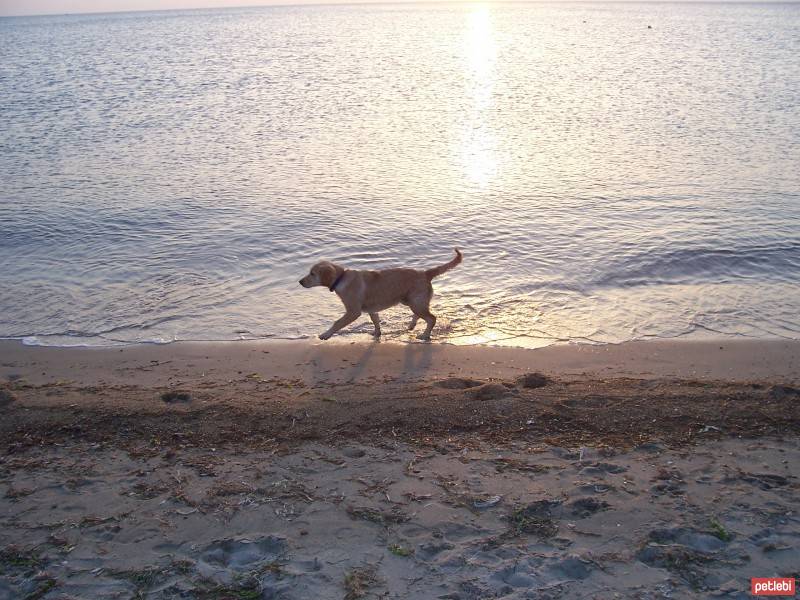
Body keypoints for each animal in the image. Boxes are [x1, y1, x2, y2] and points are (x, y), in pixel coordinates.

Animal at [300, 248, 462, 342]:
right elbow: (375, 320)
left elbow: (337, 323)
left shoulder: (353, 311)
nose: (300, 282)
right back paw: (412, 325)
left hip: (415, 301)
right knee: (422, 315)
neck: (341, 278)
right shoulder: (371, 308)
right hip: (410, 300)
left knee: (432, 318)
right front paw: (377, 333)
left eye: (312, 274)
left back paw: (425, 335)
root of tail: (425, 273)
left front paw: (325, 335)